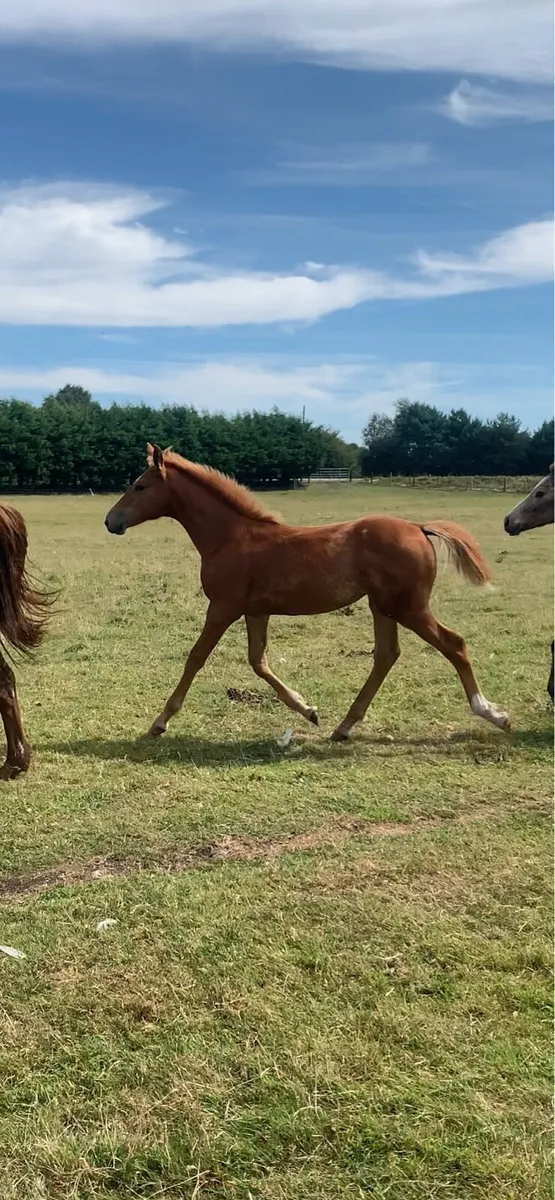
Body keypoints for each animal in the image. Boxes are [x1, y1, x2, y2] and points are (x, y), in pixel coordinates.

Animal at [105, 445, 509, 742]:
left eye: (140, 486)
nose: (111, 521)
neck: (230, 536)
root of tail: (418, 527)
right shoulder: (255, 610)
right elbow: (259, 662)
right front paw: (309, 710)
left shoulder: (222, 607)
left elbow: (196, 657)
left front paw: (160, 722)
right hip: (383, 606)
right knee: (387, 655)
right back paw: (344, 726)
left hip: (408, 607)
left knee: (453, 644)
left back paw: (493, 713)